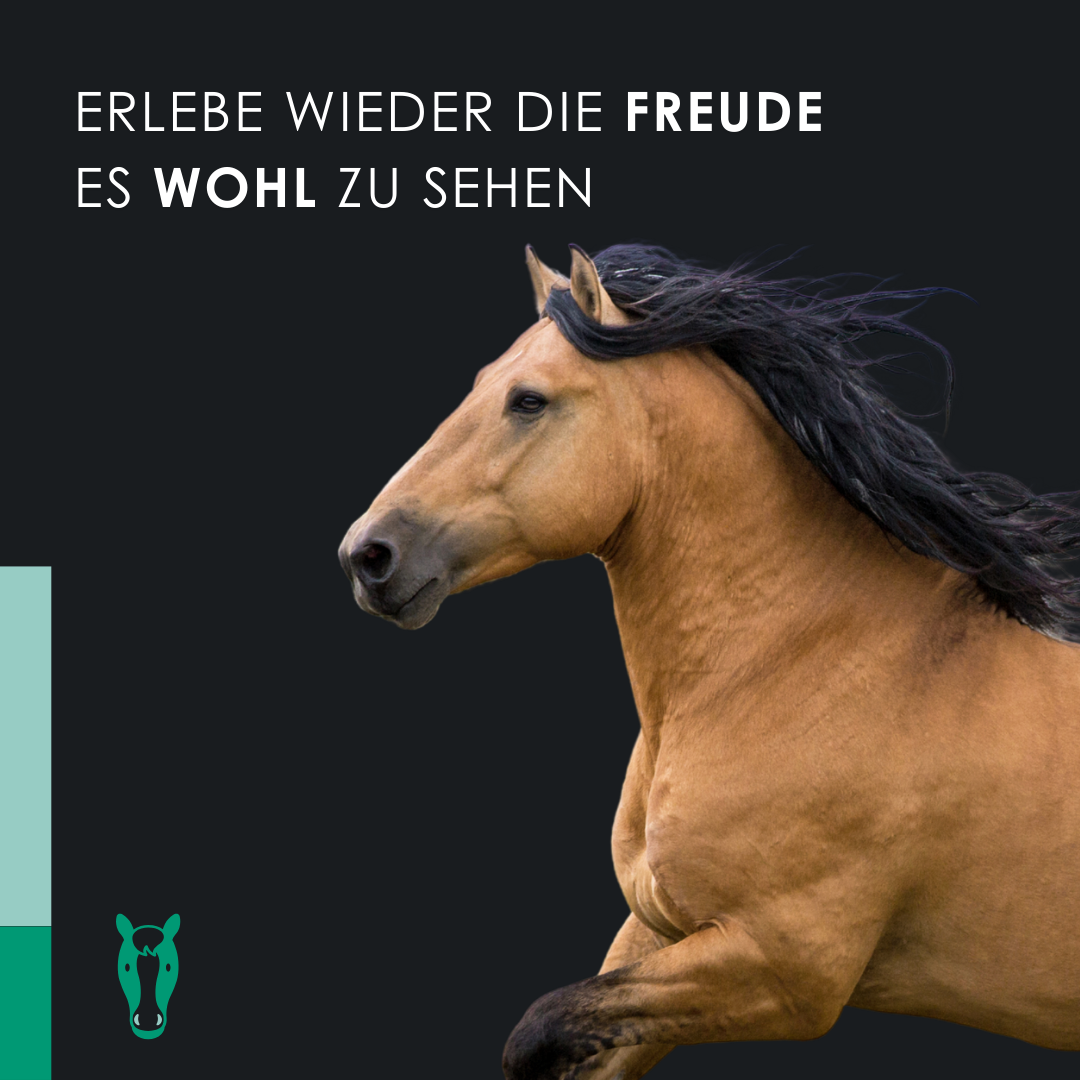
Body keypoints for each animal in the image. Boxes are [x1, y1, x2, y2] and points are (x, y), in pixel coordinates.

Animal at [337, 243, 1080, 1078]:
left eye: (527, 401)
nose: (367, 556)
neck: (797, 668)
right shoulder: (659, 932)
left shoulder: (782, 969)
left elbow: (537, 1033)